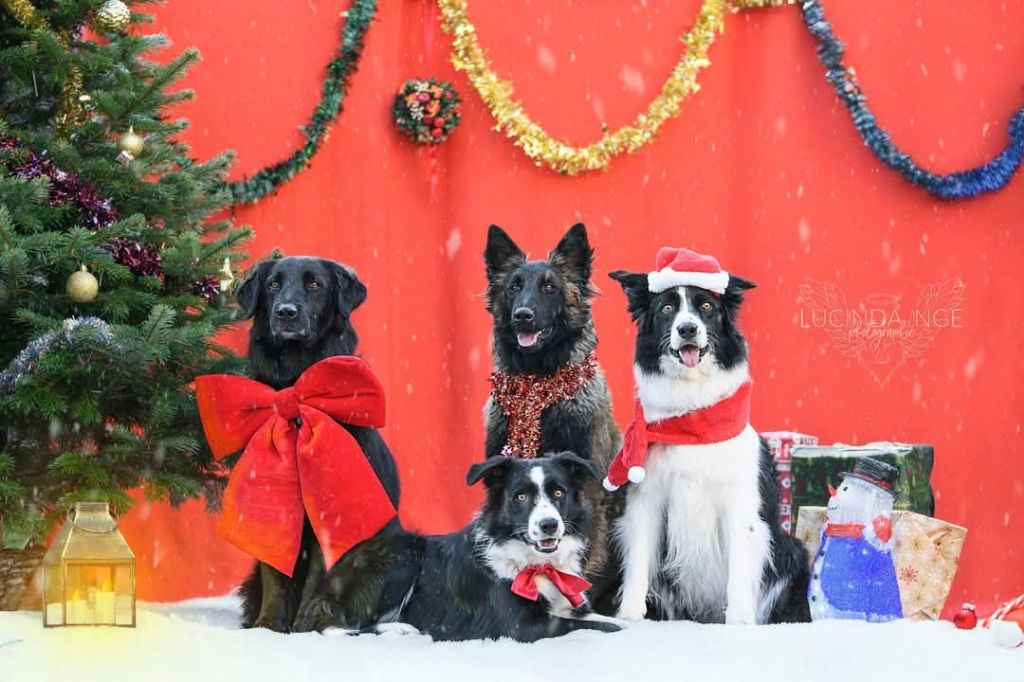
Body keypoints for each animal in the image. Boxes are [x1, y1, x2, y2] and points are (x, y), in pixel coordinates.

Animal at [234, 256, 401, 630]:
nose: (285, 312)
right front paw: (267, 627)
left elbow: (318, 577)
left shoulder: (332, 514)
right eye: (273, 285)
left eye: (314, 284)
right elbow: (275, 577)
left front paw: (303, 628)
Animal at [372, 450, 618, 638]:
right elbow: (600, 625)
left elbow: (601, 618)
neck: (540, 566)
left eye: (558, 493)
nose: (549, 524)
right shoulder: (519, 626)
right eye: (521, 497)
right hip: (406, 552)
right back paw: (399, 628)